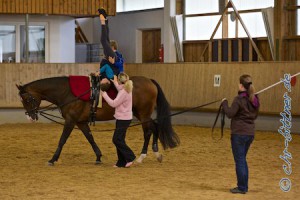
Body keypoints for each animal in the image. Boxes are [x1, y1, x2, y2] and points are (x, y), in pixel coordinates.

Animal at [16, 76, 179, 165]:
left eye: (27, 99)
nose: (30, 117)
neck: (67, 92)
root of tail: (149, 81)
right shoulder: (80, 122)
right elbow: (90, 138)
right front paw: (99, 156)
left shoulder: (70, 121)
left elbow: (62, 140)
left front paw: (52, 159)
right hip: (140, 113)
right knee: (154, 127)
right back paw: (155, 154)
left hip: (143, 114)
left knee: (149, 131)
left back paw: (142, 157)